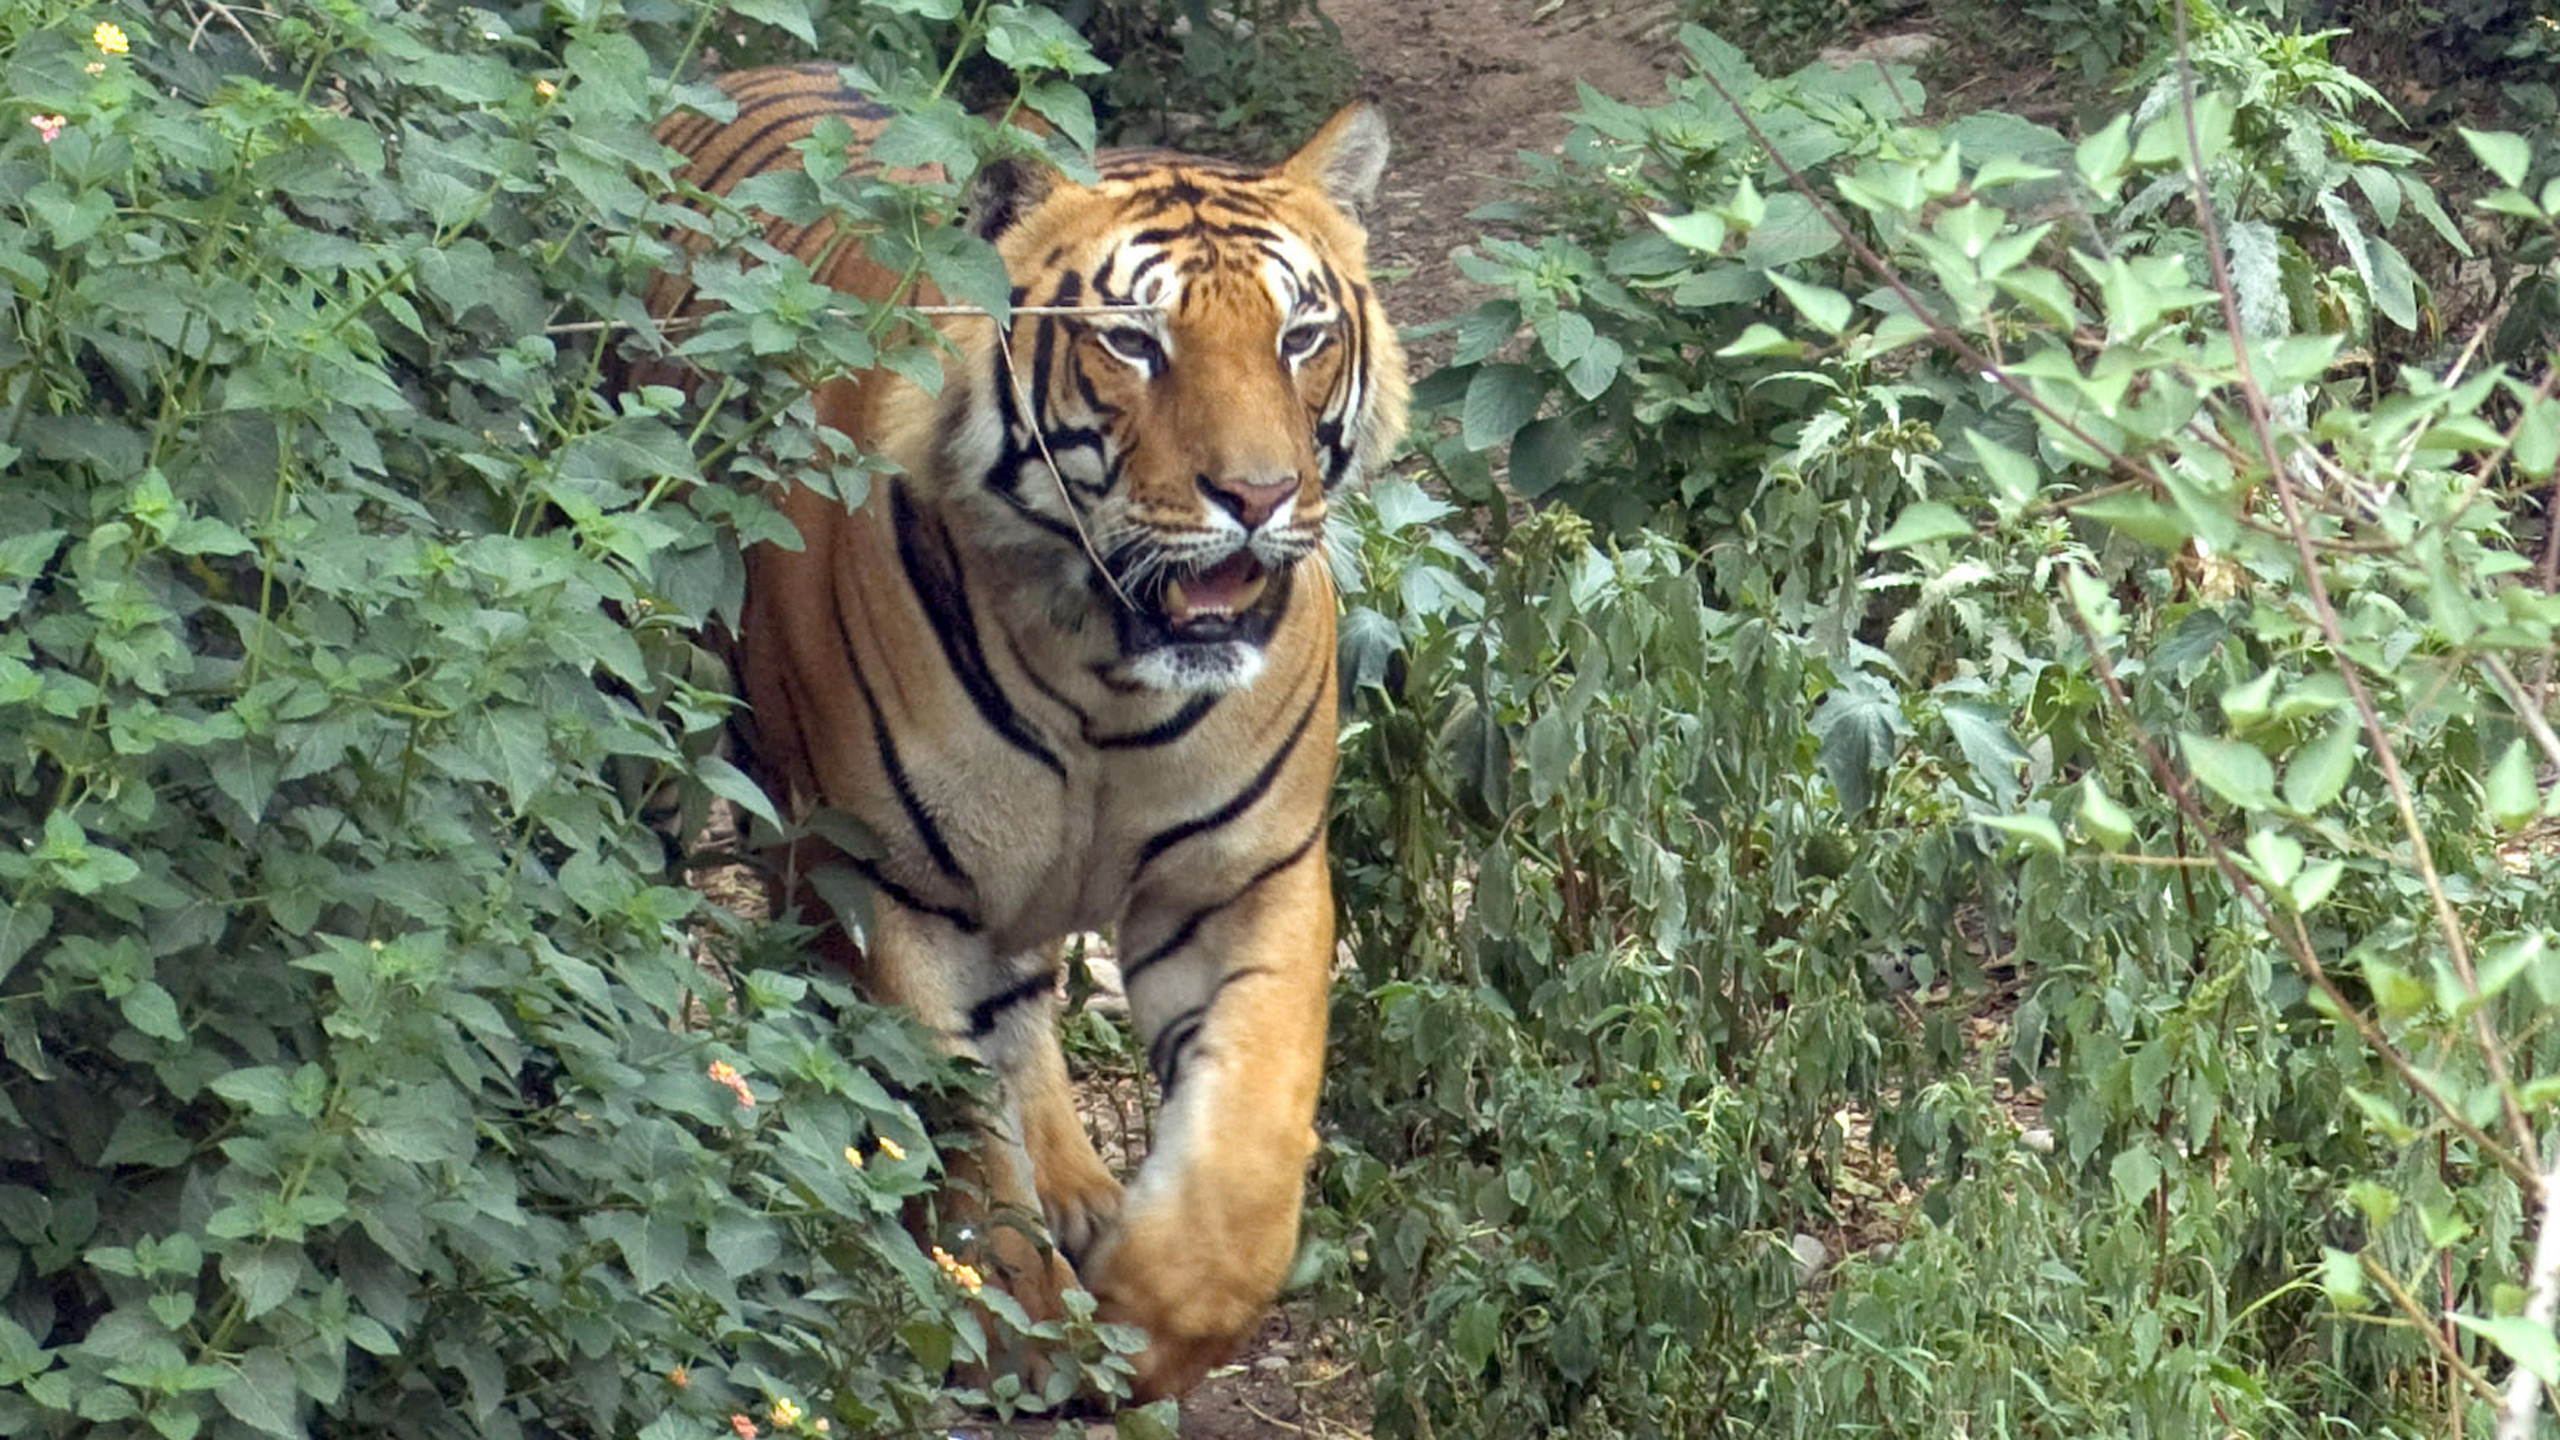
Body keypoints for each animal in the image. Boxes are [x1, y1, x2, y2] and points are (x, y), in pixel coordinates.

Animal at [643, 64, 1408, 1401]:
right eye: (1134, 343)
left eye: (1300, 338)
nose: (1258, 498)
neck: (1106, 675)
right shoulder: (877, 880)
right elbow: (948, 1125)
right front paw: (1006, 1319)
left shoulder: (1246, 878)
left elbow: (1248, 1150)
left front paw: (1149, 1314)